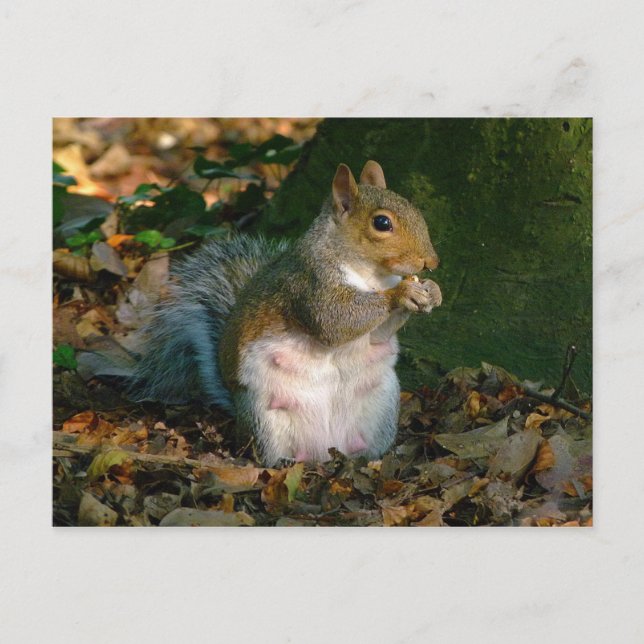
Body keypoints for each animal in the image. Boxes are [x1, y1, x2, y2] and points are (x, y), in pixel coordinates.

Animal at [127, 161, 442, 465]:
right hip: (263, 415)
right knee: (265, 452)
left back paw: (370, 458)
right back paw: (284, 462)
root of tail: (324, 449)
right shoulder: (310, 283)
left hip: (383, 403)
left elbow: (378, 336)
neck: (371, 276)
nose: (432, 262)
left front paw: (432, 291)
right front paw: (402, 293)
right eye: (381, 223)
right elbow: (334, 322)